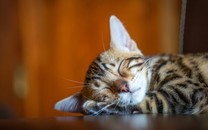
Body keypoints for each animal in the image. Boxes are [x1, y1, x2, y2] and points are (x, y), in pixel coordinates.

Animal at [54, 15, 208, 115]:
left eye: (120, 67)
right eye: (104, 88)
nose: (124, 87)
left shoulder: (186, 90)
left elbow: (147, 100)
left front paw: (94, 106)